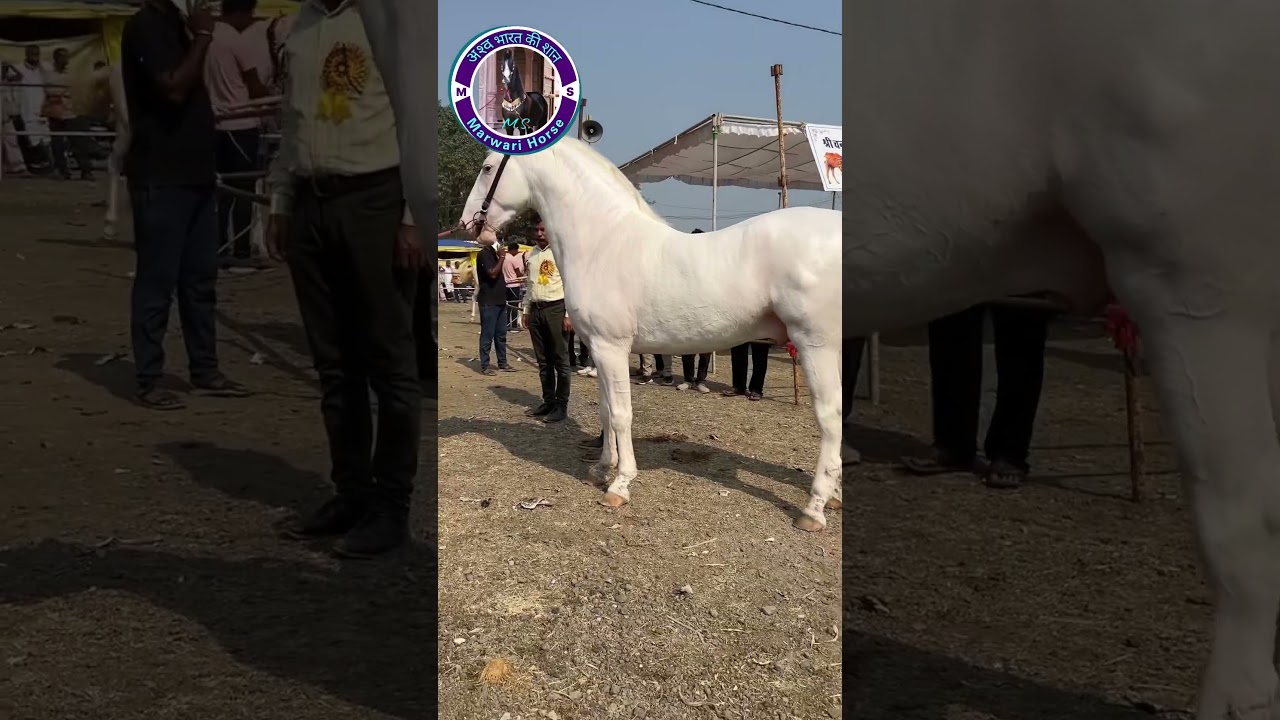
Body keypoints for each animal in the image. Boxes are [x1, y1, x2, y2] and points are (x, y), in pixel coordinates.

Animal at [457, 139, 843, 531]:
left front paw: (620, 485)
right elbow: (605, 412)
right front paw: (602, 469)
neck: (603, 240)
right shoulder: (599, 350)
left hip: (816, 345)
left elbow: (620, 415)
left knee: (830, 418)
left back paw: (814, 509)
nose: (468, 224)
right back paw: (833, 495)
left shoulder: (611, 348)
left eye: (488, 168)